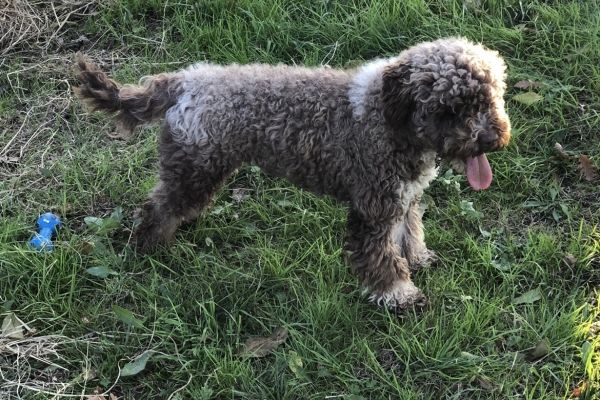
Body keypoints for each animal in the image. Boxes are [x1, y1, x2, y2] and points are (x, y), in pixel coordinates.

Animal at [74, 37, 510, 312]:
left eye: (490, 98)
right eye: (449, 109)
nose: (492, 139)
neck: (390, 120)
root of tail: (183, 81)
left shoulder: (405, 198)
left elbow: (410, 233)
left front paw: (417, 259)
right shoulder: (374, 206)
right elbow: (383, 259)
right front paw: (400, 295)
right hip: (194, 169)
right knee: (157, 209)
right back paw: (152, 249)